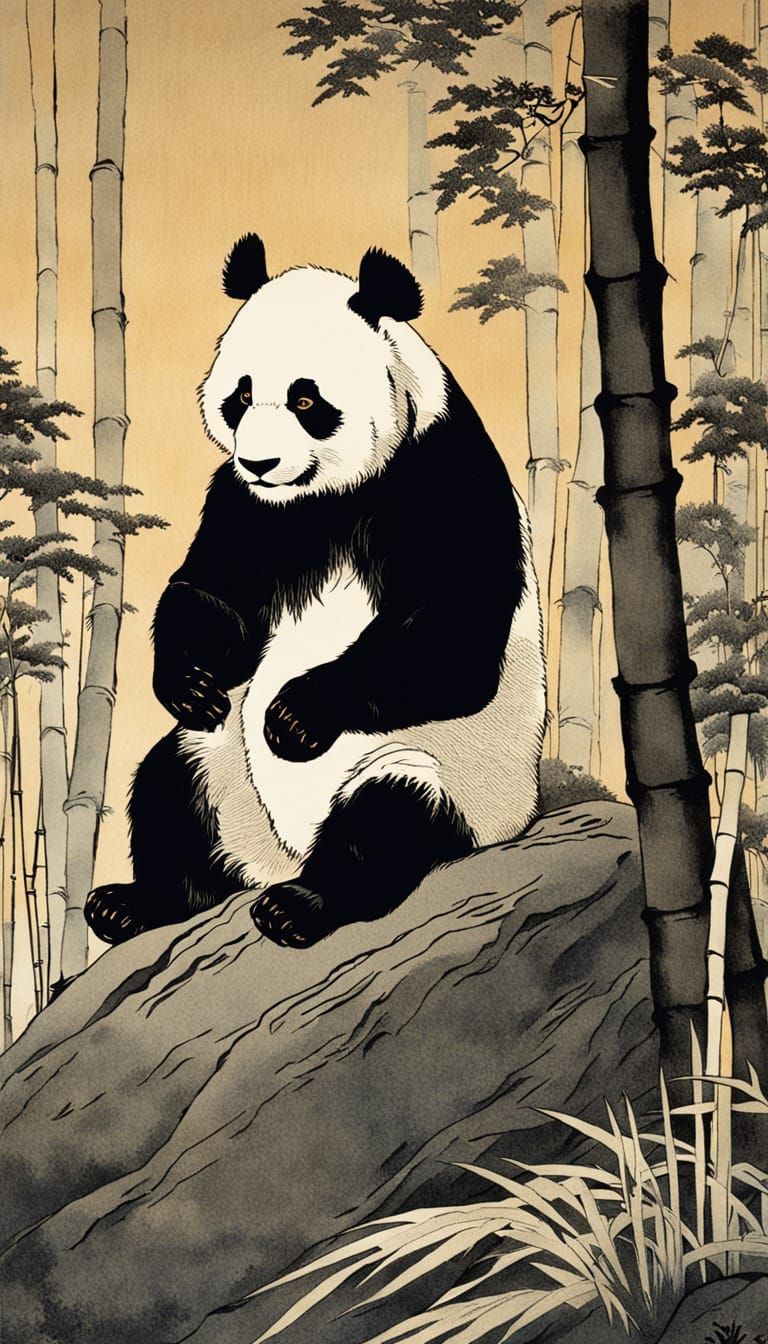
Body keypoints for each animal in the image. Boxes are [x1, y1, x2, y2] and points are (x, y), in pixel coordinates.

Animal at [85, 235, 546, 950]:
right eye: (240, 396)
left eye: (307, 401)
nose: (260, 462)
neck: (330, 494)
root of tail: (281, 855)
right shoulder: (250, 507)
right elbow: (213, 591)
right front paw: (188, 682)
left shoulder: (443, 479)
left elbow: (454, 637)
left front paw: (295, 717)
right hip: (222, 771)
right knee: (172, 786)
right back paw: (139, 902)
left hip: (453, 779)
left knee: (387, 818)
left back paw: (299, 906)